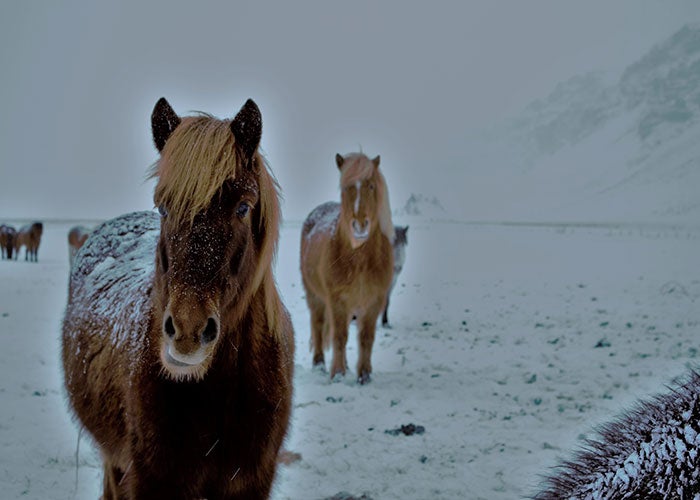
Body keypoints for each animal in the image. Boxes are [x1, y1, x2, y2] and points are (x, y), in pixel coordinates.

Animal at [298, 151, 392, 382]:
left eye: (371, 186)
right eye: (345, 187)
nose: (360, 226)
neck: (359, 260)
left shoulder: (374, 302)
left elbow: (366, 338)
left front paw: (364, 376)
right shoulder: (337, 300)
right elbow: (339, 336)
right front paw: (338, 374)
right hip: (315, 297)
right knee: (318, 324)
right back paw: (320, 364)